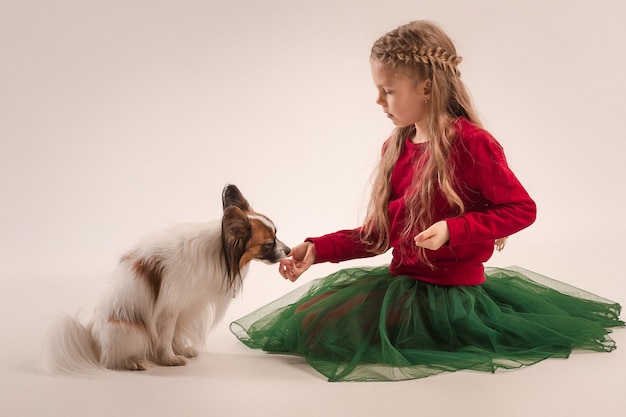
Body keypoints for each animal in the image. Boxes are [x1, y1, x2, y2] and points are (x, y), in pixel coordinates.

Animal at [44, 184, 290, 372]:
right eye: (269, 243)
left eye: (277, 236)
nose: (288, 250)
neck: (219, 252)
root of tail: (91, 336)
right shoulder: (169, 308)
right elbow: (165, 336)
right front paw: (169, 359)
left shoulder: (184, 306)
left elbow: (175, 334)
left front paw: (180, 350)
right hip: (130, 331)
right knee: (111, 359)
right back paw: (133, 362)